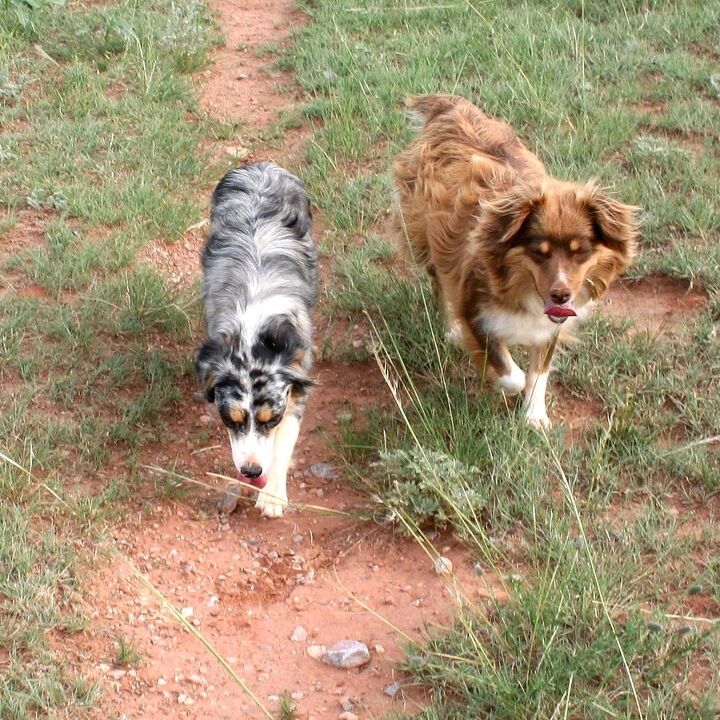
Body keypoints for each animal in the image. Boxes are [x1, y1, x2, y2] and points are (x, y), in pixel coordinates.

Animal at [394, 96, 640, 430]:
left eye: (581, 251)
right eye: (539, 251)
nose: (560, 295)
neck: (521, 286)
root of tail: (455, 109)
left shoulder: (551, 325)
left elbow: (539, 371)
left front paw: (534, 416)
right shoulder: (475, 310)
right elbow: (510, 372)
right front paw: (504, 383)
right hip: (426, 237)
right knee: (439, 283)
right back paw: (451, 330)